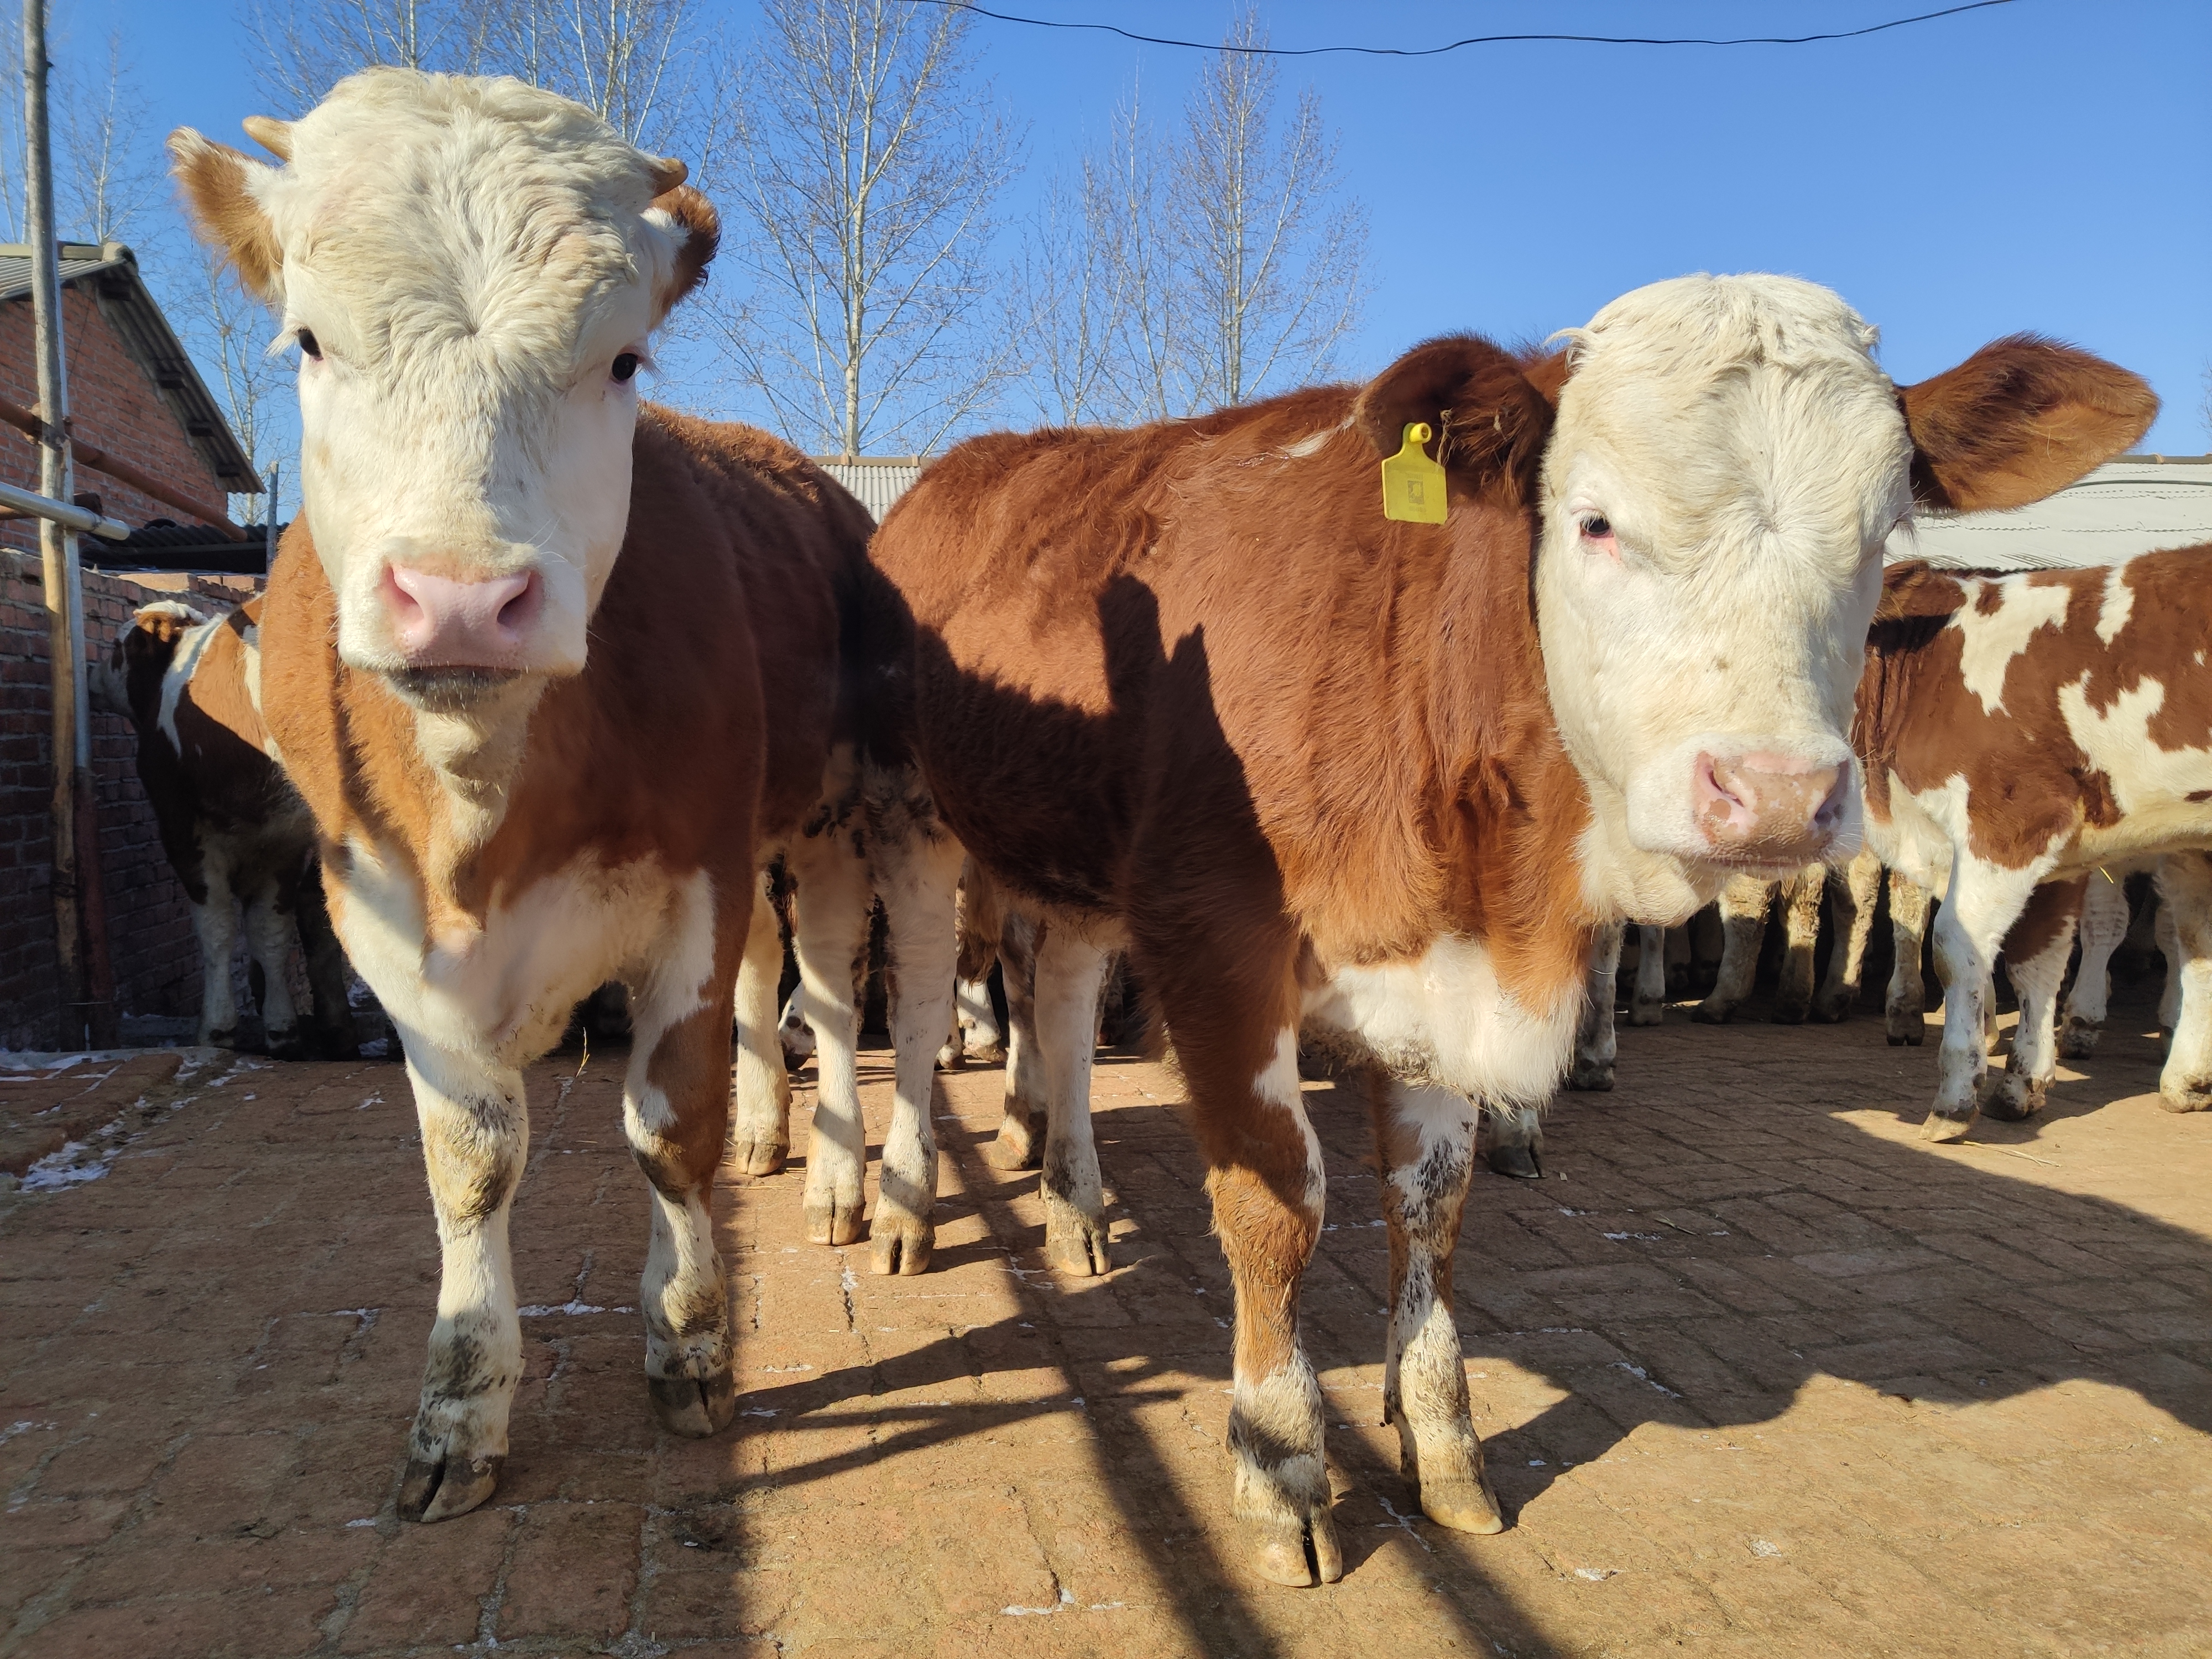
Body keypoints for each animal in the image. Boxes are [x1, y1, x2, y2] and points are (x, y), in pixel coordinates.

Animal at [87, 606, 354, 1057]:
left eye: (116, 647)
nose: (90, 673)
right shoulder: (281, 844)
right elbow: (269, 933)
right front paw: (281, 1027)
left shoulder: (184, 833)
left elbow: (220, 930)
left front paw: (218, 1029)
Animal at [173, 78, 880, 1531]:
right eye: (309, 342)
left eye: (621, 362)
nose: (459, 598)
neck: (487, 810)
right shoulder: (378, 912)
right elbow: (473, 1160)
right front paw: (460, 1405)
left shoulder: (695, 879)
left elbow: (668, 1132)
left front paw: (688, 1343)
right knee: (764, 989)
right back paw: (772, 1131)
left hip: (825, 819)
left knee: (832, 992)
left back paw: (836, 1173)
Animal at [849, 280, 2141, 1593]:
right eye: (1593, 523)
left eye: (1882, 534)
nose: (1777, 792)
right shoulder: (1217, 943)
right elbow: (1277, 1206)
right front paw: (1279, 1463)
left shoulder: (1442, 976)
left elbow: (1430, 1204)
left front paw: (1440, 1436)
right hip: (902, 815)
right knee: (921, 1004)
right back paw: (902, 1205)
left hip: (1064, 861)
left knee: (1057, 1007)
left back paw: (1073, 1205)